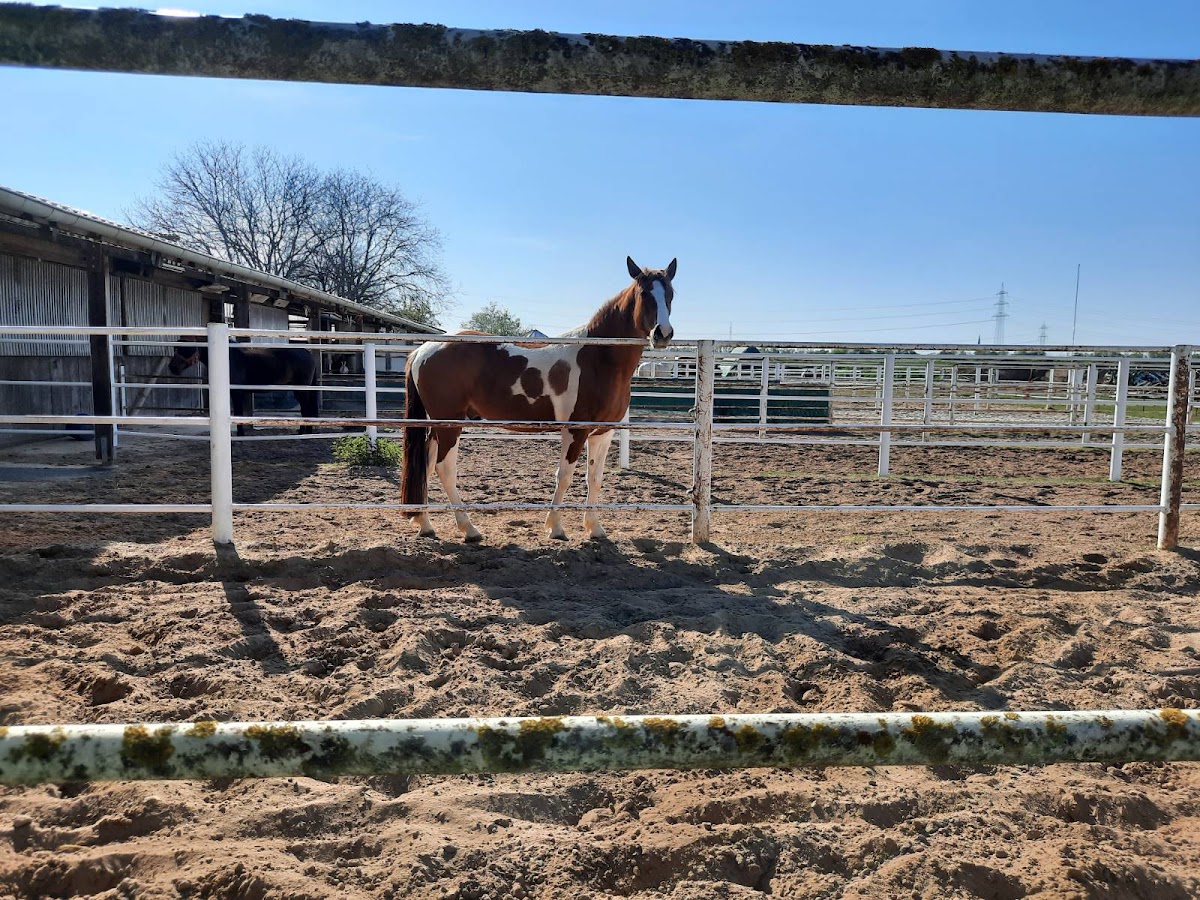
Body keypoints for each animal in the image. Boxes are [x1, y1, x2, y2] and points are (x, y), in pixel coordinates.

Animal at [168, 337, 320, 436]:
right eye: (176, 349)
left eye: (185, 349)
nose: (172, 368)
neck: (228, 358)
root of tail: (308, 354)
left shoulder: (236, 393)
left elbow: (238, 413)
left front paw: (240, 434)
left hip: (302, 389)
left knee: (306, 409)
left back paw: (304, 433)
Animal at [402, 256, 677, 542]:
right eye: (644, 293)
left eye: (670, 293)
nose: (663, 333)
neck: (598, 358)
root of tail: (422, 350)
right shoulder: (575, 431)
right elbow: (564, 476)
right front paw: (555, 527)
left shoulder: (602, 433)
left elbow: (595, 478)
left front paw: (595, 528)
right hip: (450, 425)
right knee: (444, 469)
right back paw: (469, 529)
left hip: (437, 426)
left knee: (427, 466)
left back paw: (425, 524)